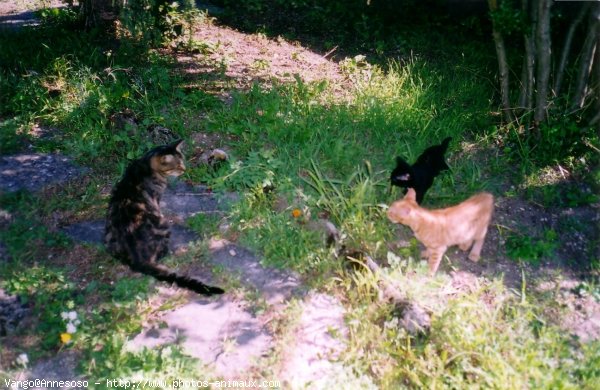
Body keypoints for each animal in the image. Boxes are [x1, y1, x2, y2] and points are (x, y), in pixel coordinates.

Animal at [104, 140, 224, 296]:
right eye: (177, 165)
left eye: (183, 160)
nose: (184, 169)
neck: (146, 163)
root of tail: (137, 259)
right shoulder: (156, 198)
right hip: (163, 224)